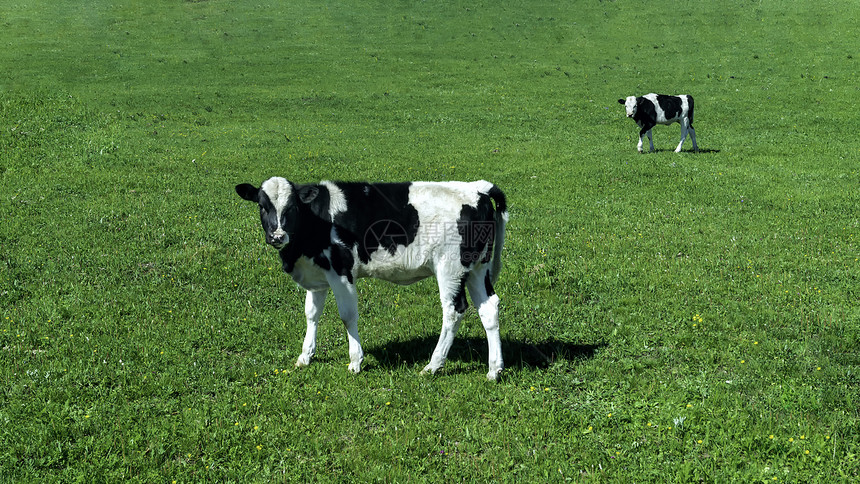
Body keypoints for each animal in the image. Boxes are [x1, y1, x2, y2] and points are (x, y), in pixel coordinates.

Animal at [235, 178, 508, 382]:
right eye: (262, 206)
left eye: (291, 207)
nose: (277, 236)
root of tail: (478, 189)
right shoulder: (318, 272)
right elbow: (311, 314)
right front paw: (305, 356)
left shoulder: (341, 271)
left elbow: (347, 316)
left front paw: (355, 360)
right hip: (477, 268)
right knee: (488, 308)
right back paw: (494, 369)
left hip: (450, 268)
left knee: (453, 311)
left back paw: (433, 365)